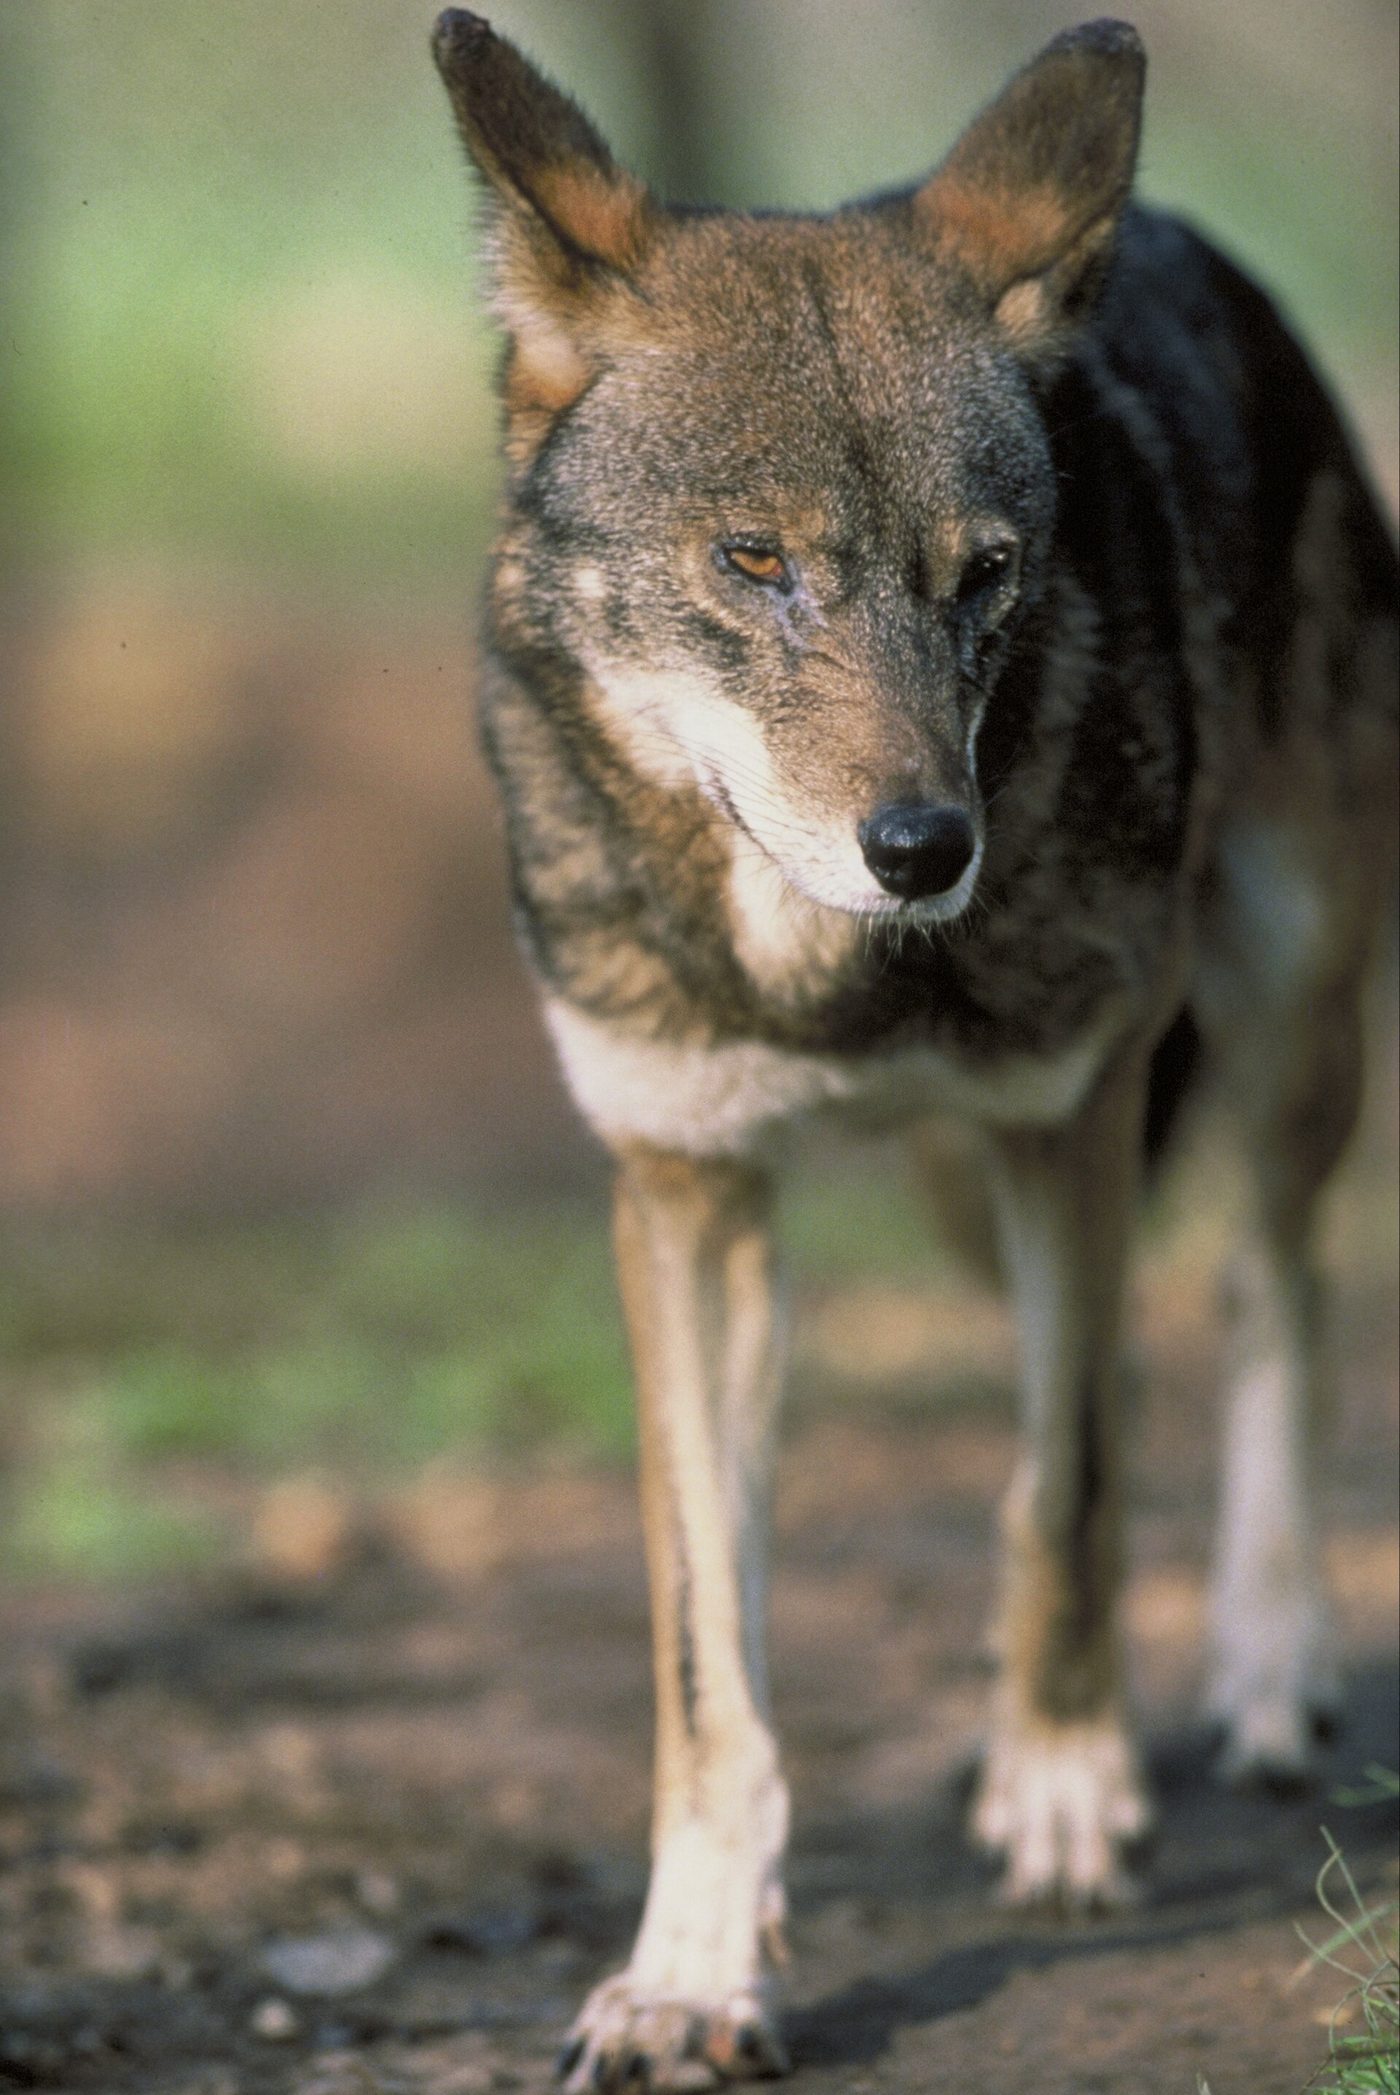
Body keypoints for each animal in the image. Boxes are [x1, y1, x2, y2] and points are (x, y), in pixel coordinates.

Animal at [431, 11, 1399, 2086]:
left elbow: (1071, 1488)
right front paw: (696, 1968)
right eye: (753, 562)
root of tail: (1199, 253)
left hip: (1278, 1016)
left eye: (985, 575)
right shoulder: (685, 1195)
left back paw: (1269, 1661)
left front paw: (1065, 1786)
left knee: (1263, 1288)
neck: (826, 981)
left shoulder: (1077, 1113)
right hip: (921, 1208)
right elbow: (707, 1655)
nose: (924, 847)